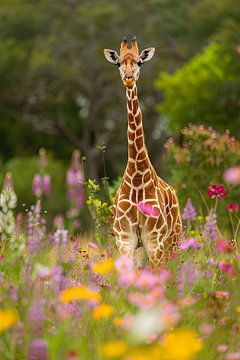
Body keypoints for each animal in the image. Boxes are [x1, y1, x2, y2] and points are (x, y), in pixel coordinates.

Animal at [103, 37, 182, 268]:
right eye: (118, 63)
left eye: (140, 62)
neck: (137, 176)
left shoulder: (154, 240)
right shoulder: (125, 239)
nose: (129, 79)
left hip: (173, 240)